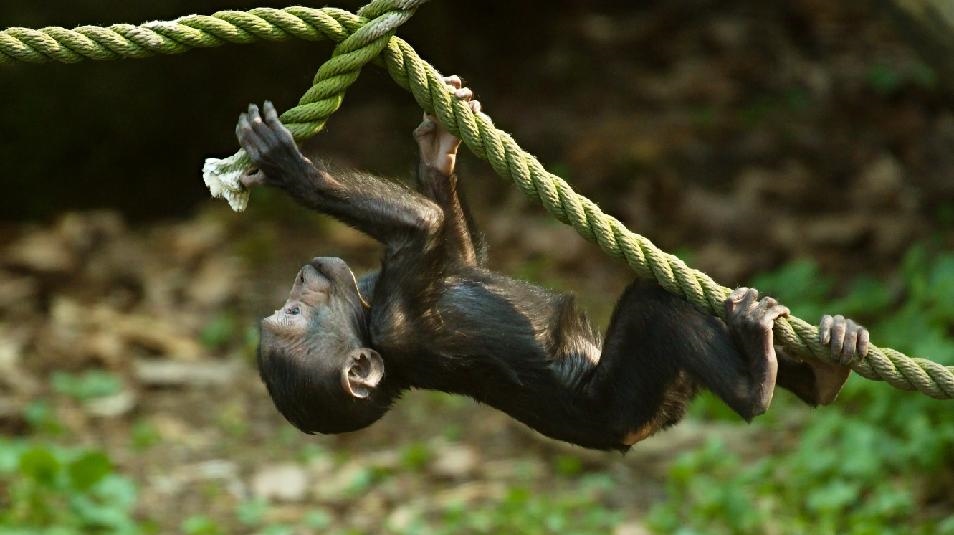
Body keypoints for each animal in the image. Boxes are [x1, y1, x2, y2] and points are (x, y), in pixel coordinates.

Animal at [236, 77, 864, 450]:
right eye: (293, 315)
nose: (301, 277)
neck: (367, 314)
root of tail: (645, 431)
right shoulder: (398, 319)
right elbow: (426, 226)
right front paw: (293, 169)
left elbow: (455, 247)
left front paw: (438, 150)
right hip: (628, 401)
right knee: (657, 310)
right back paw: (756, 377)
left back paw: (827, 361)